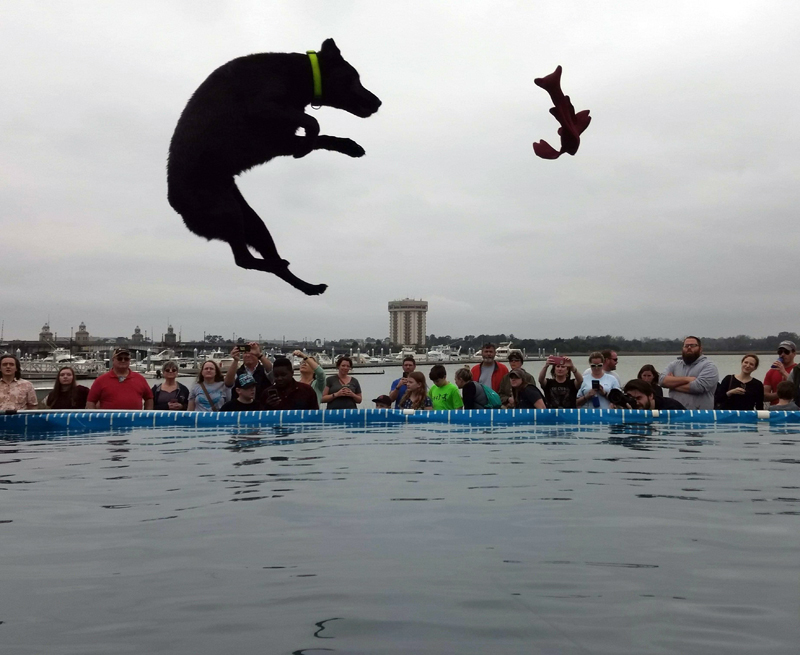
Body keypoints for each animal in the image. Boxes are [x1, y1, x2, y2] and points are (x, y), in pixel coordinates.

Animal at [166, 39, 382, 296]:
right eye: (355, 78)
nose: (378, 102)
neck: (300, 73)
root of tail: (174, 204)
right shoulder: (263, 107)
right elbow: (314, 123)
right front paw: (308, 147)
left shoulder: (282, 140)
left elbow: (321, 136)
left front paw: (349, 146)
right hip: (227, 210)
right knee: (243, 260)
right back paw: (277, 265)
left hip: (252, 222)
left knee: (265, 261)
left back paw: (307, 285)